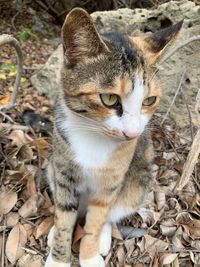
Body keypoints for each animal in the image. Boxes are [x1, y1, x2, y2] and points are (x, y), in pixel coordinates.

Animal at [44, 7, 183, 267]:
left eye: (149, 100)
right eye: (109, 99)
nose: (132, 133)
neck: (92, 136)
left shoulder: (111, 181)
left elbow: (98, 217)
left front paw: (89, 256)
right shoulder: (64, 172)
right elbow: (64, 216)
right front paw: (58, 257)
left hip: (138, 183)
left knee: (112, 211)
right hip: (51, 168)